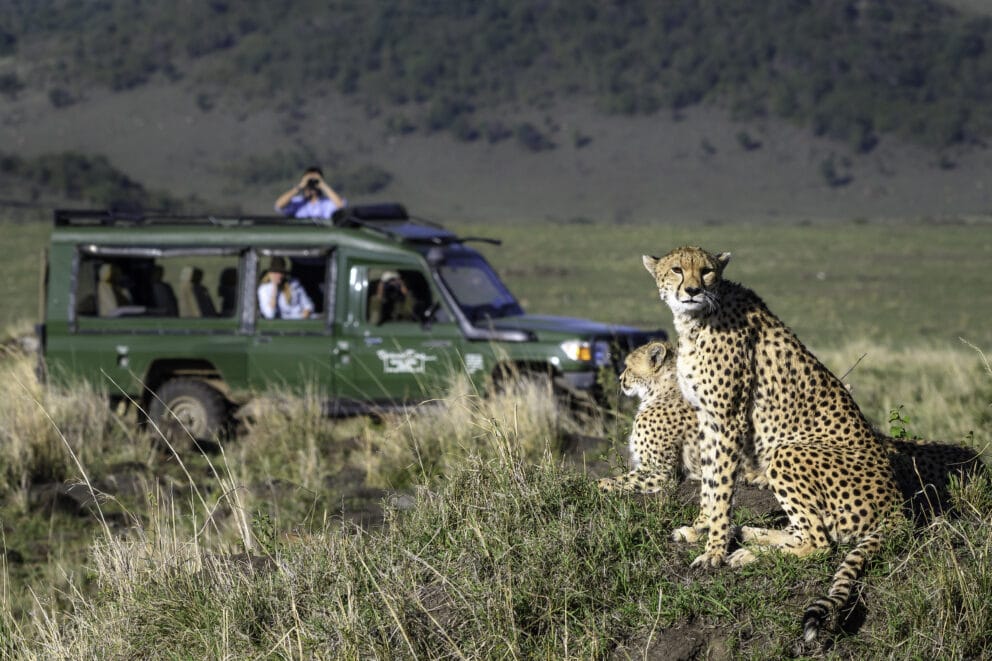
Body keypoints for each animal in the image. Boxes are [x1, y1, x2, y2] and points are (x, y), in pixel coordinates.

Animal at [597, 339, 764, 495]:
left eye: (629, 367)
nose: (620, 378)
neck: (664, 390)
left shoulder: (662, 472)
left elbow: (614, 481)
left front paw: (603, 485)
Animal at [642, 245, 910, 643]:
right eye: (676, 269)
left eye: (706, 272)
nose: (691, 290)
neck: (697, 319)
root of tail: (898, 505)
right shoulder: (707, 418)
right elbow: (709, 483)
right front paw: (701, 528)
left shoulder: (728, 419)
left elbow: (722, 488)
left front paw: (714, 551)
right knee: (807, 531)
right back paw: (750, 534)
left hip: (787, 451)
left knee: (820, 543)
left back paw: (747, 554)